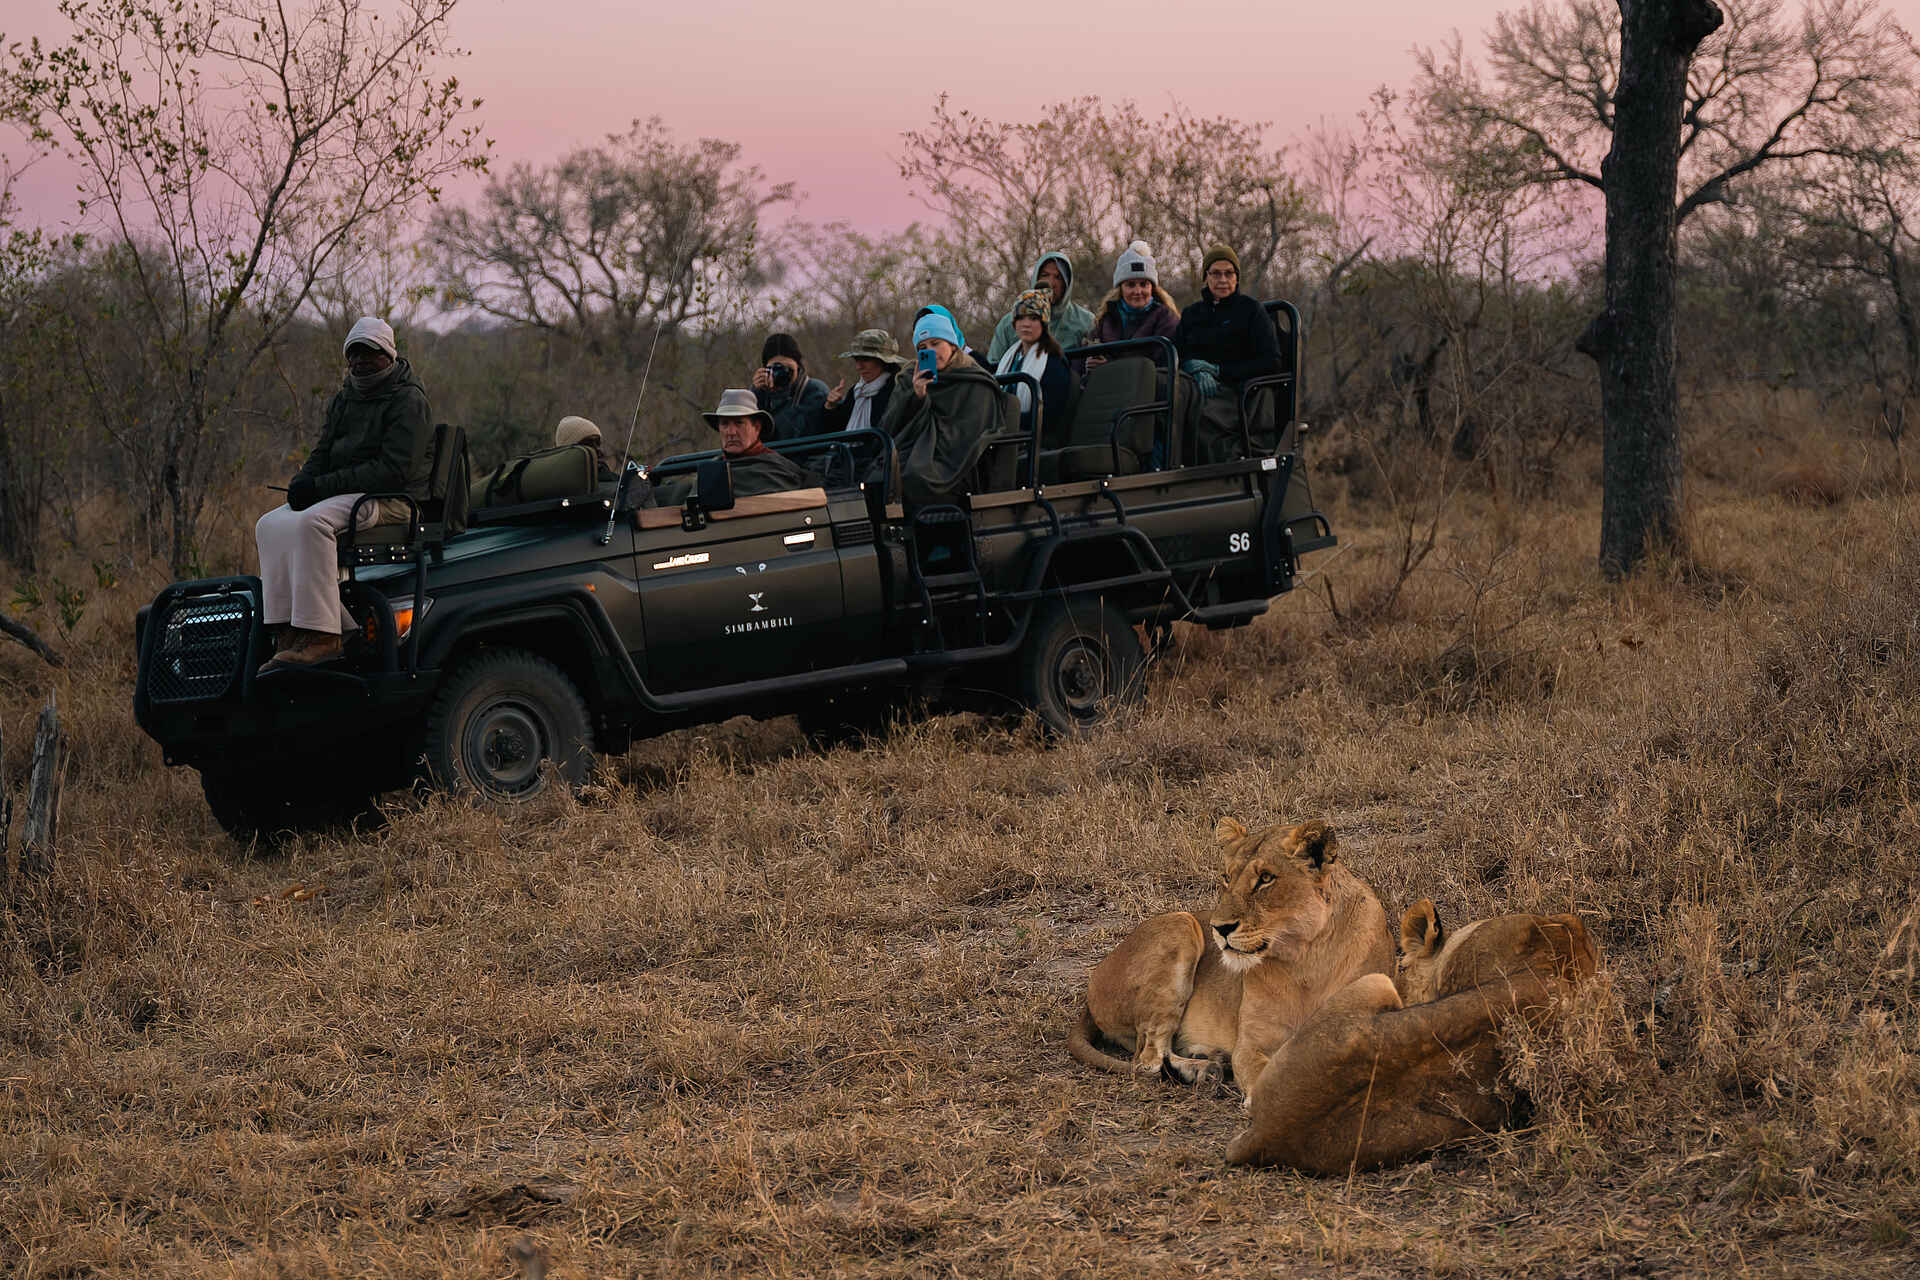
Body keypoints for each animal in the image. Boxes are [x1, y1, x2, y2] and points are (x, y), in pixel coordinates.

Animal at [1067, 818, 1395, 1097]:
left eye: (1265, 878)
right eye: (1227, 878)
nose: (1219, 928)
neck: (1304, 958)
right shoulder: (1250, 1046)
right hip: (1180, 924)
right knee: (1146, 1058)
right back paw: (1203, 1070)